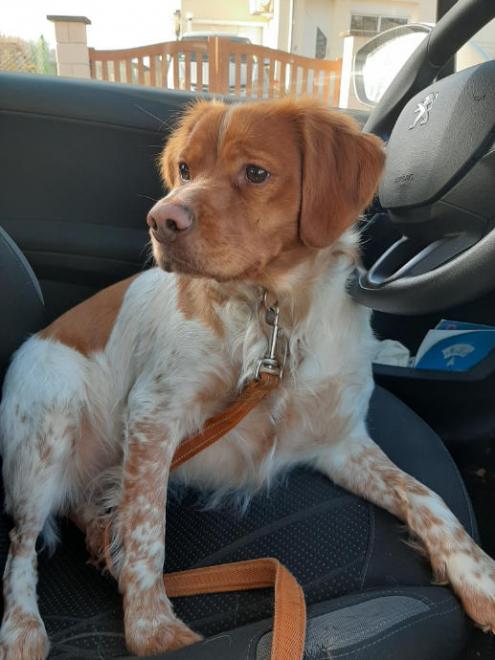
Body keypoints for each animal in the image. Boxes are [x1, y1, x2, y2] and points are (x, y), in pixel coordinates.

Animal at [0, 97, 494, 659]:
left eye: (256, 173)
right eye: (185, 169)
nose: (160, 220)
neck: (277, 318)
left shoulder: (340, 441)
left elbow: (426, 496)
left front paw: (480, 579)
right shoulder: (153, 414)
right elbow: (149, 527)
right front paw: (153, 629)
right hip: (48, 431)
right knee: (20, 547)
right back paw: (22, 626)